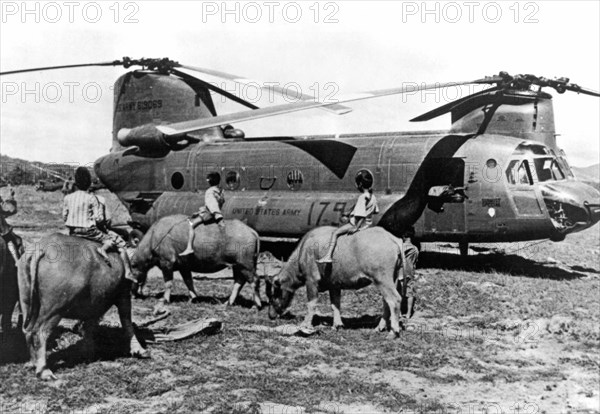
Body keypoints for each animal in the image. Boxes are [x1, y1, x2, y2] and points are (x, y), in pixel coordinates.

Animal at [18, 231, 149, 380]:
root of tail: (43, 247)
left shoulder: (94, 304)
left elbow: (89, 326)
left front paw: (88, 352)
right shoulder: (123, 295)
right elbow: (127, 322)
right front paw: (139, 349)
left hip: (27, 302)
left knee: (28, 330)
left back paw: (32, 363)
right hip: (55, 309)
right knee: (40, 332)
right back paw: (44, 370)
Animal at [131, 215, 262, 308]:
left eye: (132, 269)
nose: (133, 294)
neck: (154, 237)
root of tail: (251, 231)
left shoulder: (167, 263)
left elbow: (168, 283)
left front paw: (165, 299)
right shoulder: (184, 267)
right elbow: (189, 281)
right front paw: (193, 298)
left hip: (246, 265)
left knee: (254, 280)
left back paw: (256, 305)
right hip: (238, 266)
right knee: (239, 282)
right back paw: (228, 302)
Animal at [270, 226, 414, 336]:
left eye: (274, 294)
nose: (271, 316)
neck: (304, 250)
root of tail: (392, 238)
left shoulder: (311, 281)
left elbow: (311, 304)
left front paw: (305, 324)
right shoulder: (334, 285)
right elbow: (335, 304)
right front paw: (337, 325)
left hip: (382, 280)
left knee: (394, 299)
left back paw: (393, 332)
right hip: (391, 280)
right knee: (386, 302)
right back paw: (379, 327)